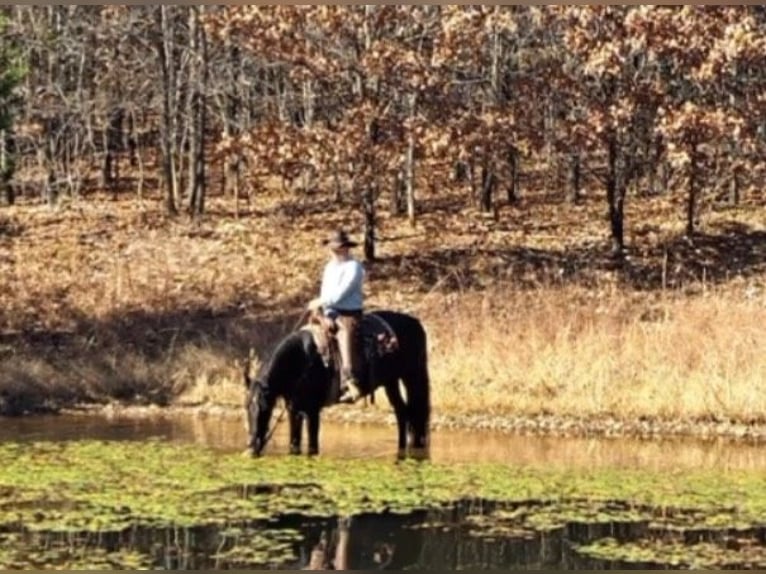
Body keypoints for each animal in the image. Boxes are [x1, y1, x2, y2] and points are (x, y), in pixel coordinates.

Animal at [249, 310, 436, 460]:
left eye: (264, 408)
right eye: (247, 409)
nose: (251, 448)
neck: (304, 360)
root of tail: (416, 323)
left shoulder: (312, 410)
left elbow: (312, 446)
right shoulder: (294, 410)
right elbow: (294, 445)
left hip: (412, 376)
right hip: (392, 381)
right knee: (402, 412)